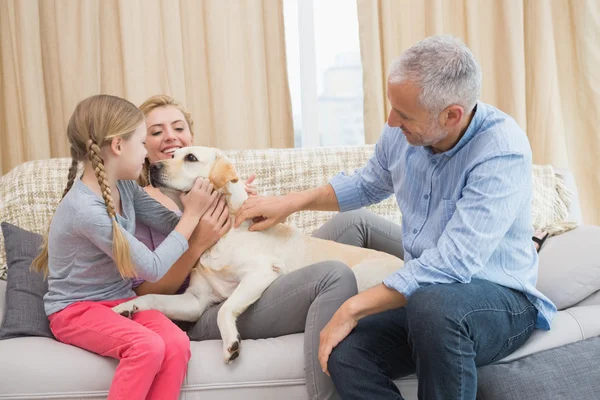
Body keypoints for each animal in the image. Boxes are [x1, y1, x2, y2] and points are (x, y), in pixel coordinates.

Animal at [112, 146, 404, 362]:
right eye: (172, 155)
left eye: (190, 158)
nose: (152, 166)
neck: (223, 233)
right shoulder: (195, 301)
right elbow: (152, 297)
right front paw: (127, 306)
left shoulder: (261, 272)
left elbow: (224, 309)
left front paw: (230, 342)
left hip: (360, 275)